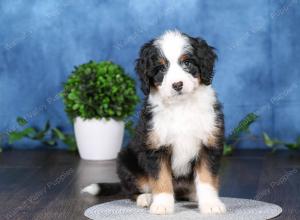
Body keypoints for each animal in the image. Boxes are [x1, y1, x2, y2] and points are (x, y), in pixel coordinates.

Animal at [82, 29, 225, 215]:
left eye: (187, 63)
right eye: (161, 68)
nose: (177, 85)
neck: (181, 106)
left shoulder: (209, 144)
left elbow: (207, 178)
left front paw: (210, 204)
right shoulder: (155, 147)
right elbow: (160, 178)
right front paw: (162, 204)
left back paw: (193, 195)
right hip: (126, 161)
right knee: (132, 189)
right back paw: (146, 198)